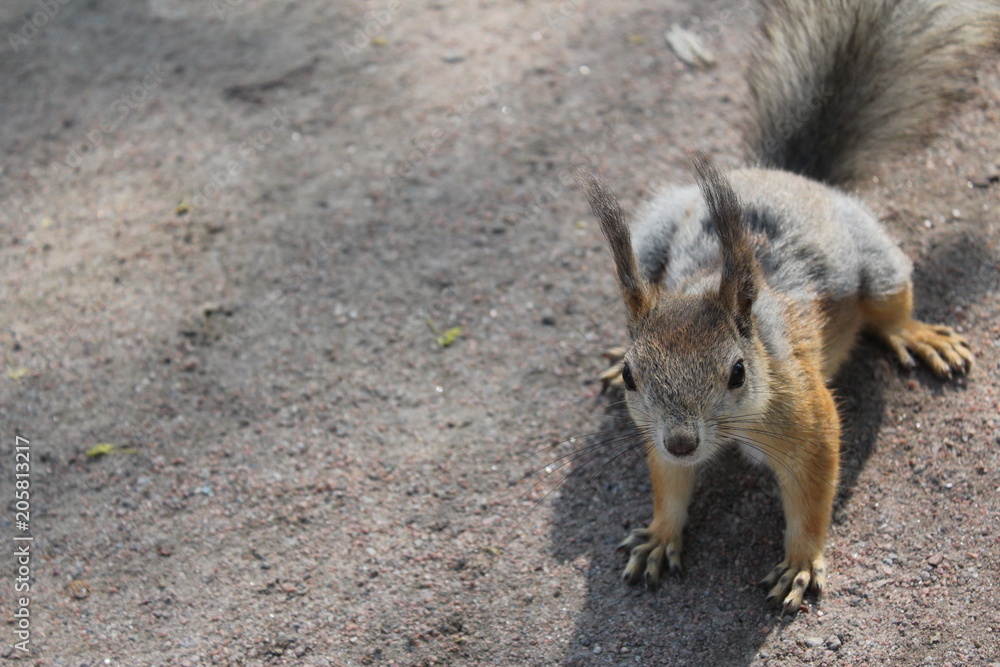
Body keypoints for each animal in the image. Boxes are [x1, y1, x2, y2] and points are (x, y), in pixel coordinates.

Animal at [580, 0, 999, 614]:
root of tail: (789, 176)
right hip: (657, 229)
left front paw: (801, 563)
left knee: (892, 305)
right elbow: (670, 483)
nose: (684, 441)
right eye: (636, 377)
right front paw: (660, 535)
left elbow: (812, 495)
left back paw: (918, 335)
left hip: (876, 261)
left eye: (737, 372)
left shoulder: (808, 419)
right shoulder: (654, 432)